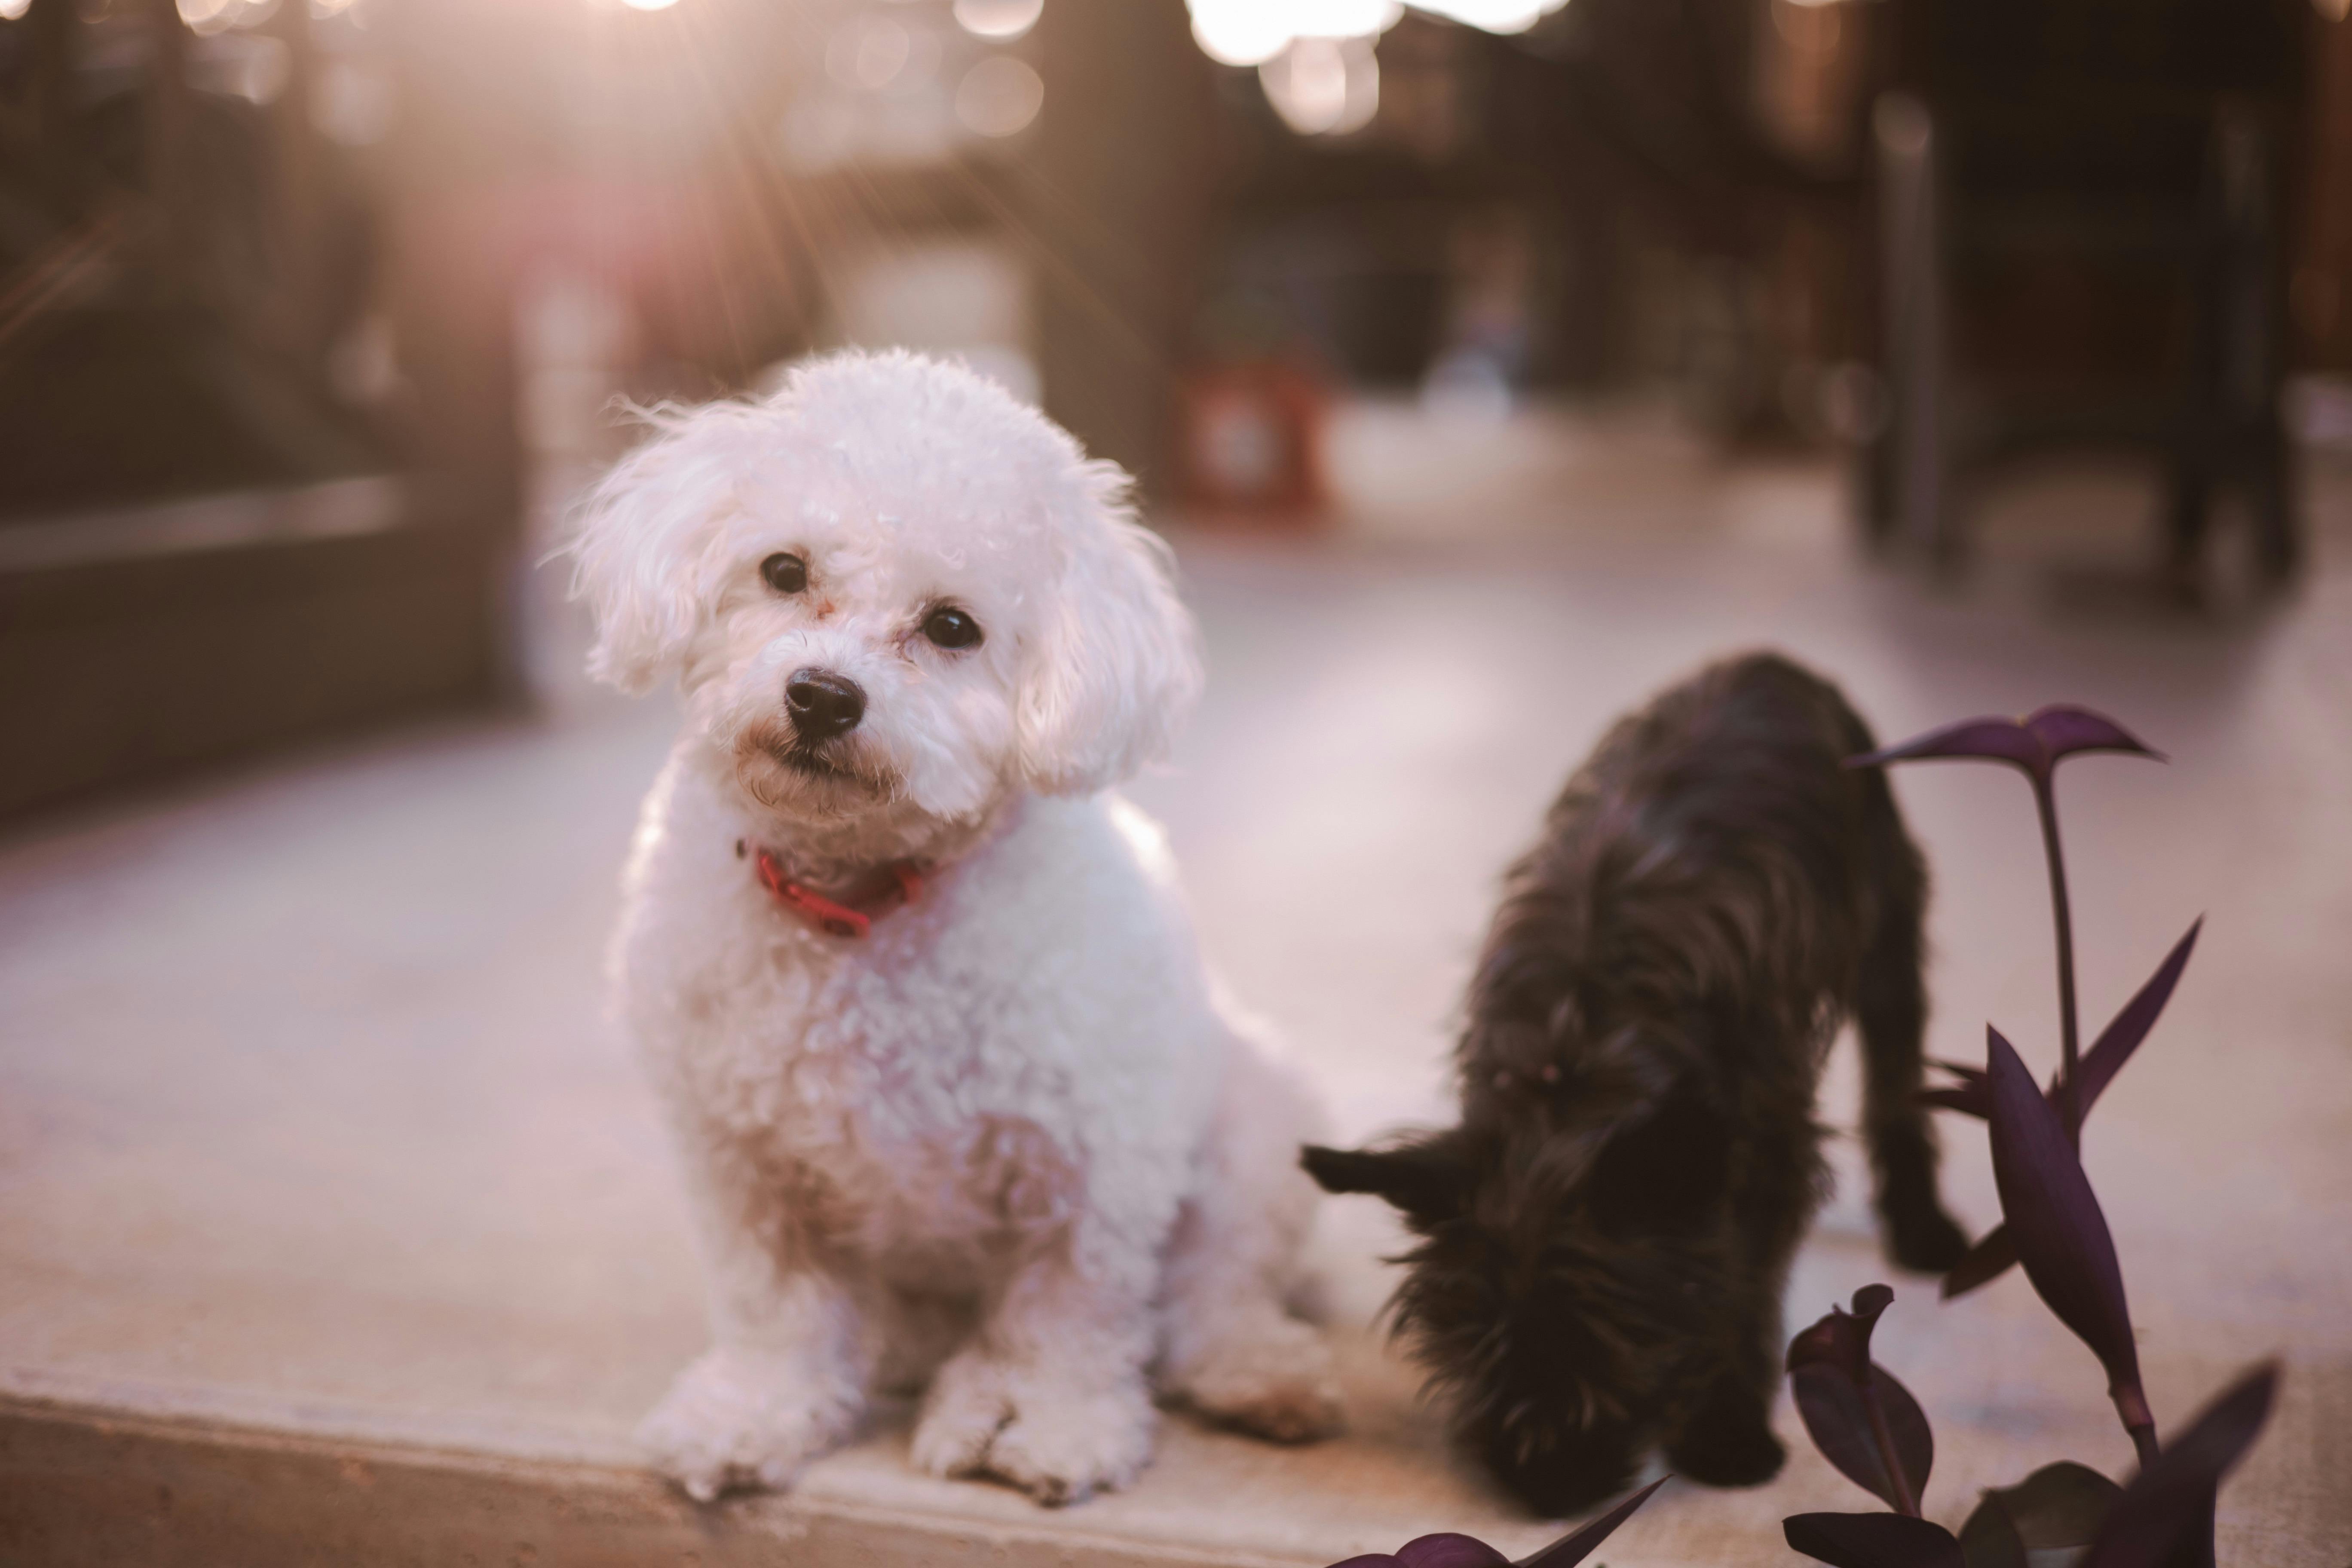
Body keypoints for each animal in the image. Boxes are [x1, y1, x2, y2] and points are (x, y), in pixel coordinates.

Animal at [567, 350, 1345, 1504]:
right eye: (784, 569)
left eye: (950, 628)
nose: (822, 696)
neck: (860, 898)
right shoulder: (742, 1165)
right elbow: (774, 1305)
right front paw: (753, 1411)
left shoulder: (1093, 1161)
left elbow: (1070, 1315)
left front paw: (1056, 1425)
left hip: (1252, 1135)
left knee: (1212, 1298)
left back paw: (1251, 1375)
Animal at [1308, 653, 1966, 1523]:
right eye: (1474, 1348)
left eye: (1613, 1346)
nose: (1543, 1489)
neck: (1574, 1066)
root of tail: (1771, 660)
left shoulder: (1766, 1148)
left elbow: (1740, 1285)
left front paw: (1726, 1431)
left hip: (1887, 925)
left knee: (1896, 1082)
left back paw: (1924, 1228)